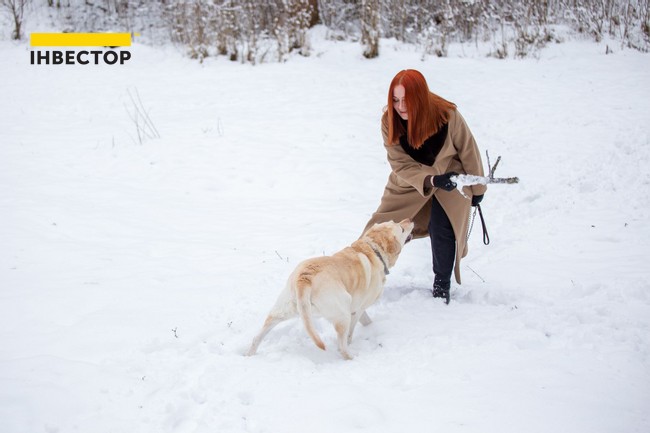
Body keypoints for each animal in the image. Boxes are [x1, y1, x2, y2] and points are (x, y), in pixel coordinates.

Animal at [246, 218, 412, 360]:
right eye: (401, 228)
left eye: (395, 221)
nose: (410, 219)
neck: (373, 249)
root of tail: (305, 277)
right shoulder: (357, 309)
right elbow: (353, 332)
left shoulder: (358, 308)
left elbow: (367, 321)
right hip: (343, 312)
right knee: (342, 347)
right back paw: (351, 357)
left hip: (283, 310)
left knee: (257, 336)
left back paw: (249, 354)